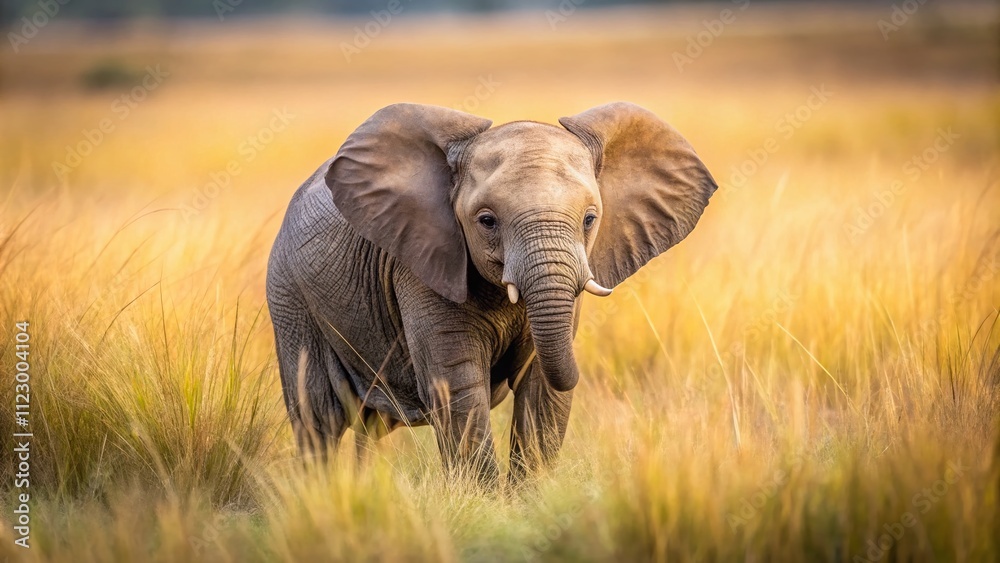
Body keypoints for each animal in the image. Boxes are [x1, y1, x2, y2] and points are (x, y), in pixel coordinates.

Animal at [266, 102, 716, 484]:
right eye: (486, 221)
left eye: (590, 219)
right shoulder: (421, 263)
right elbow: (459, 386)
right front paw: (482, 498)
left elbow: (541, 387)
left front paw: (529, 498)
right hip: (289, 298)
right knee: (319, 419)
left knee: (366, 428)